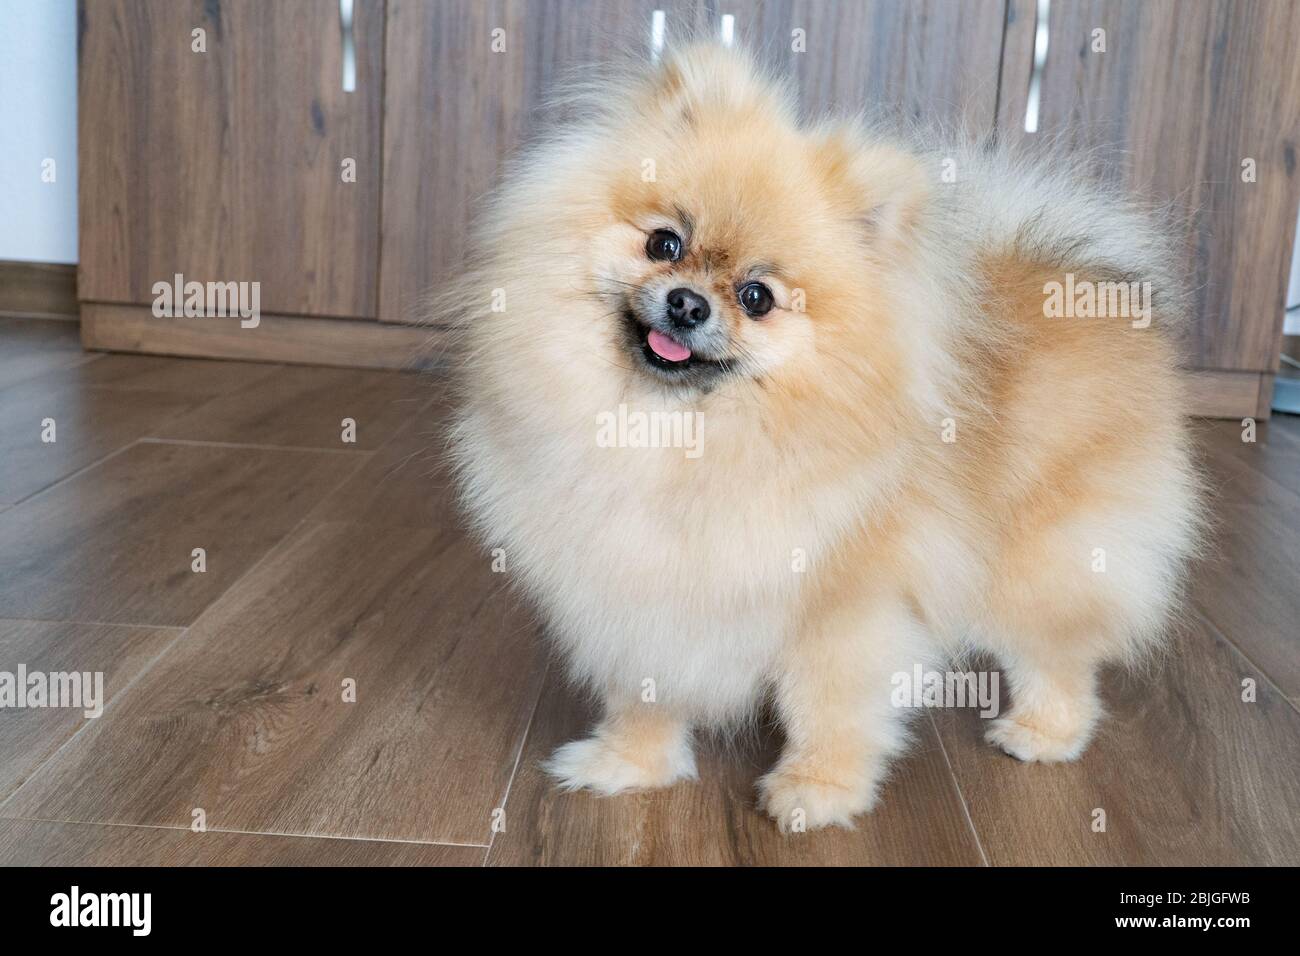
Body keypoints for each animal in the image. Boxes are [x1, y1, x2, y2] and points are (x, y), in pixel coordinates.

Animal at [447, 42, 1206, 832]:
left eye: (758, 297)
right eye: (664, 242)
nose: (686, 304)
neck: (679, 440)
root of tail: (1081, 277)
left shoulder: (850, 610)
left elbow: (829, 707)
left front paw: (817, 790)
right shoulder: (633, 593)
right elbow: (644, 691)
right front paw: (629, 764)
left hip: (1041, 562)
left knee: (1058, 654)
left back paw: (1043, 733)